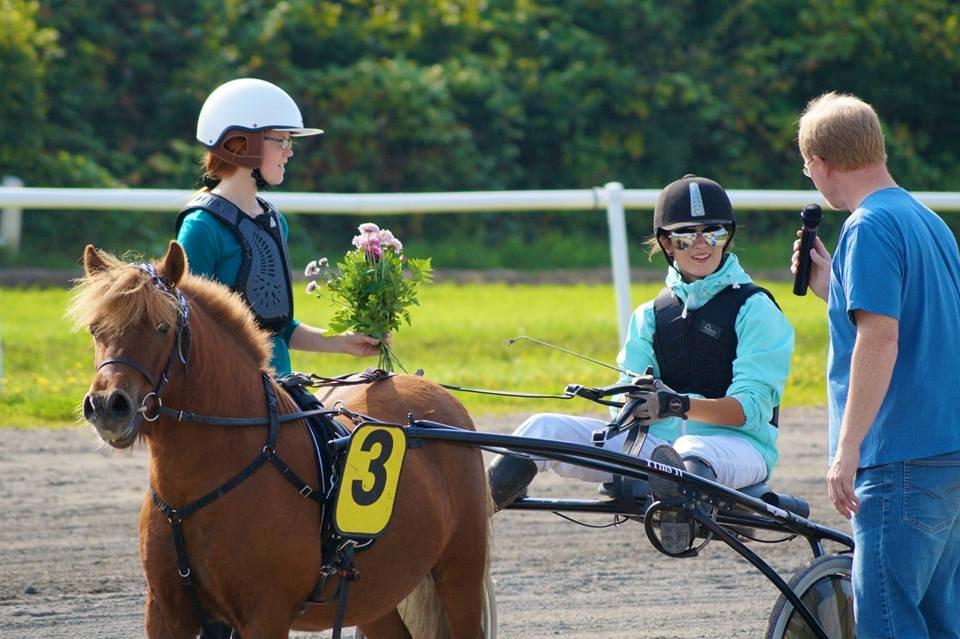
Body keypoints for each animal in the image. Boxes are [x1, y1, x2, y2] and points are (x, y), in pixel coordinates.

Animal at [70, 242, 492, 636]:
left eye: (162, 328)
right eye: (95, 329)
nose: (108, 405)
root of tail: (435, 395)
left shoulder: (265, 615)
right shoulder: (166, 614)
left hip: (461, 574)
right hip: (374, 595)